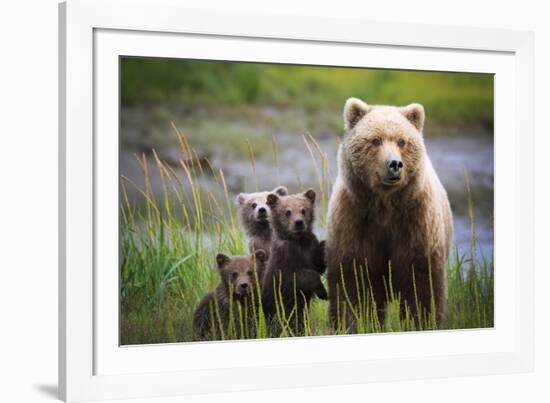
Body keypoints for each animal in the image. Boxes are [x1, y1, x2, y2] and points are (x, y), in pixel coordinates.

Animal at [328, 98, 452, 328]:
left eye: (402, 141)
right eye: (376, 140)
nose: (394, 164)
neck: (385, 204)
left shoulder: (415, 222)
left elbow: (421, 284)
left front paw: (422, 321)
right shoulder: (354, 219)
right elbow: (355, 281)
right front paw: (356, 322)